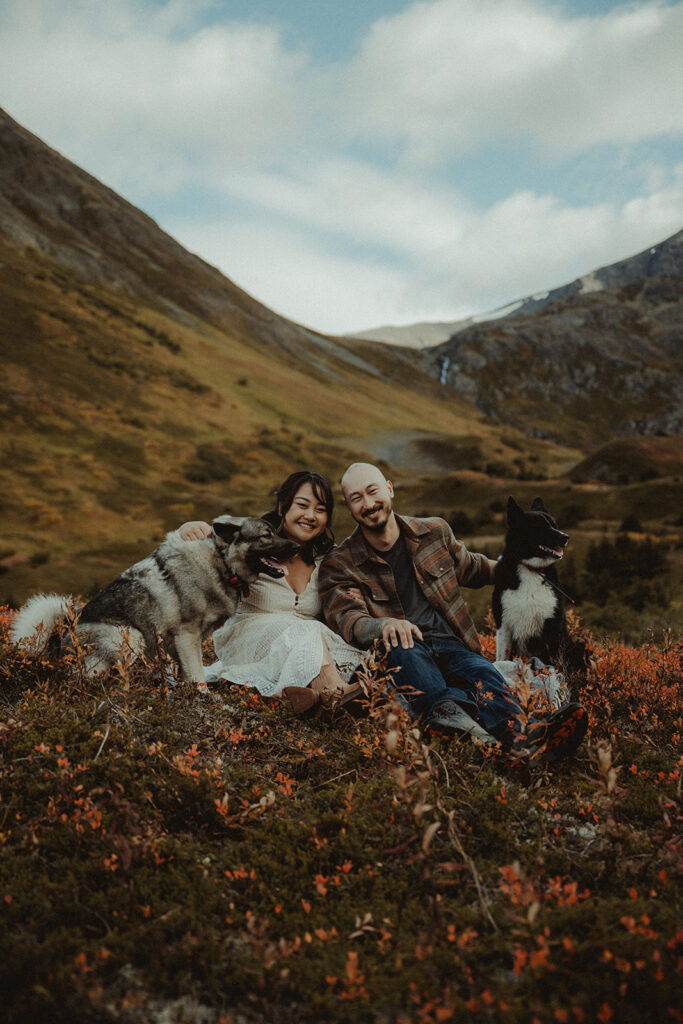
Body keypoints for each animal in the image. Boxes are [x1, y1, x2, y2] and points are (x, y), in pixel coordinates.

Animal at [12, 516, 296, 684]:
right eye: (266, 536)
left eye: (277, 533)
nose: (296, 547)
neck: (221, 561)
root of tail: (64, 631)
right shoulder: (187, 636)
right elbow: (197, 676)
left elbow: (186, 674)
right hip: (132, 636)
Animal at [491, 497, 581, 671]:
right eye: (539, 526)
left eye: (554, 525)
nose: (565, 537)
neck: (532, 569)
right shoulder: (503, 623)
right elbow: (502, 657)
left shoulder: (553, 624)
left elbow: (555, 663)